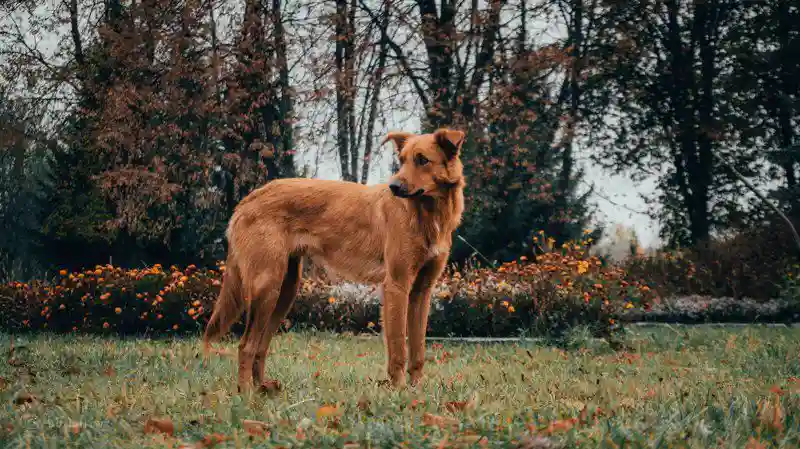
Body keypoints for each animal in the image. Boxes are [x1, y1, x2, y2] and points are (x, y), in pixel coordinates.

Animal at [203, 128, 468, 390]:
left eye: (422, 160)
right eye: (402, 160)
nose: (393, 187)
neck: (427, 214)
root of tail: (249, 199)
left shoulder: (421, 291)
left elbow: (417, 349)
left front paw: (417, 389)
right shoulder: (397, 286)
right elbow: (398, 348)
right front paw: (400, 390)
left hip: (284, 291)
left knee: (260, 345)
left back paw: (263, 389)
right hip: (266, 286)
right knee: (246, 345)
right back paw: (246, 393)